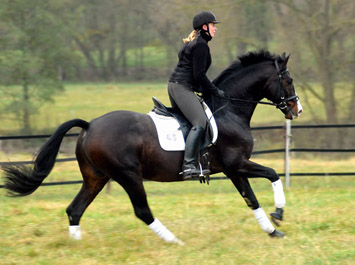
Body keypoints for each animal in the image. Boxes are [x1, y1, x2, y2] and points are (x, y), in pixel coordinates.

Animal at [2, 49, 304, 243]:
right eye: (288, 80)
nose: (296, 109)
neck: (228, 109)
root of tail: (89, 126)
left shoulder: (234, 169)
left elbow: (254, 196)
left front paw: (274, 230)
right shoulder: (236, 165)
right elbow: (269, 178)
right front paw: (278, 215)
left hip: (96, 177)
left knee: (75, 209)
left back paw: (77, 246)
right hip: (128, 176)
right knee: (142, 211)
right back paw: (174, 241)